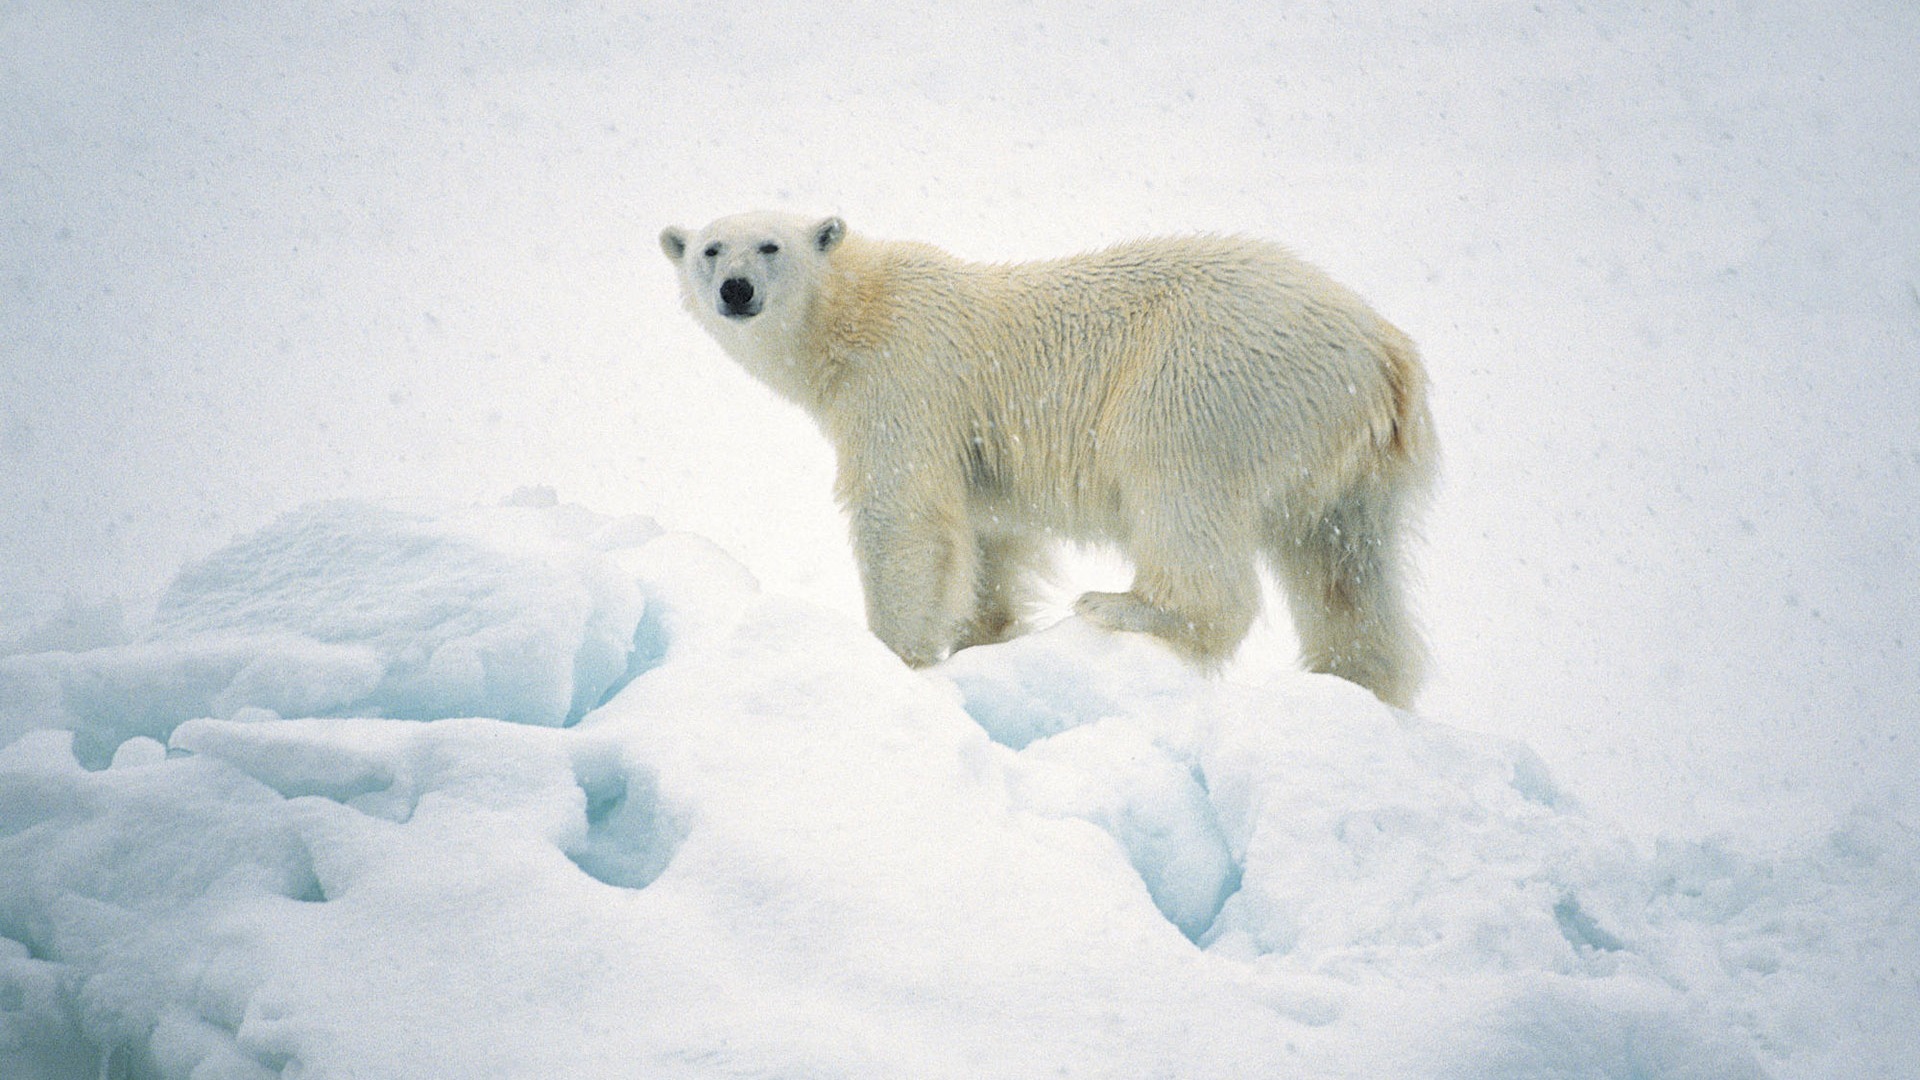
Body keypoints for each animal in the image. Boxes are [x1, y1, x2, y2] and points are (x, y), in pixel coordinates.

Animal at [664, 211, 1443, 707]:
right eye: (710, 249)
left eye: (769, 246)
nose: (737, 290)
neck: (857, 311)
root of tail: (1384, 348)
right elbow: (991, 537)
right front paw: (982, 638)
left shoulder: (901, 379)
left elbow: (903, 517)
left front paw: (894, 656)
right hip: (1349, 458)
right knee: (1345, 567)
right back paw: (1354, 680)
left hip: (1211, 376)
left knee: (1175, 481)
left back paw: (1126, 605)